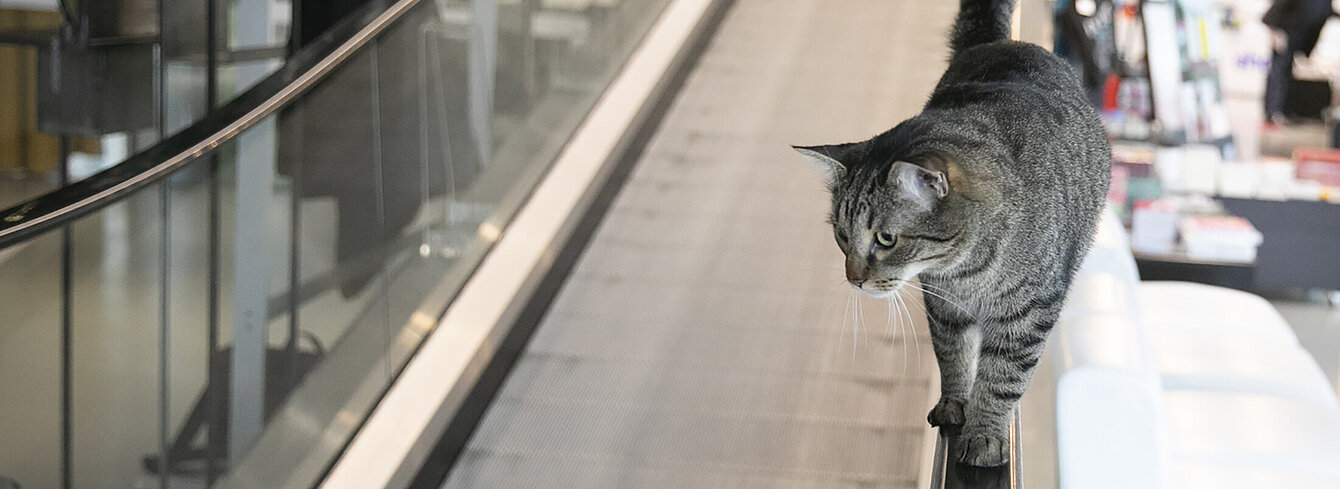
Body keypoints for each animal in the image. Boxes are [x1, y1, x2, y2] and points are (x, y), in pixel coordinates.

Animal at [793, 0, 1109, 466]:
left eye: (886, 239)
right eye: (842, 236)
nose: (854, 279)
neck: (966, 270)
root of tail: (1001, 42)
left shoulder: (1028, 314)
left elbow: (1002, 379)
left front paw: (985, 434)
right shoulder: (944, 306)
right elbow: (952, 356)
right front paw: (954, 403)